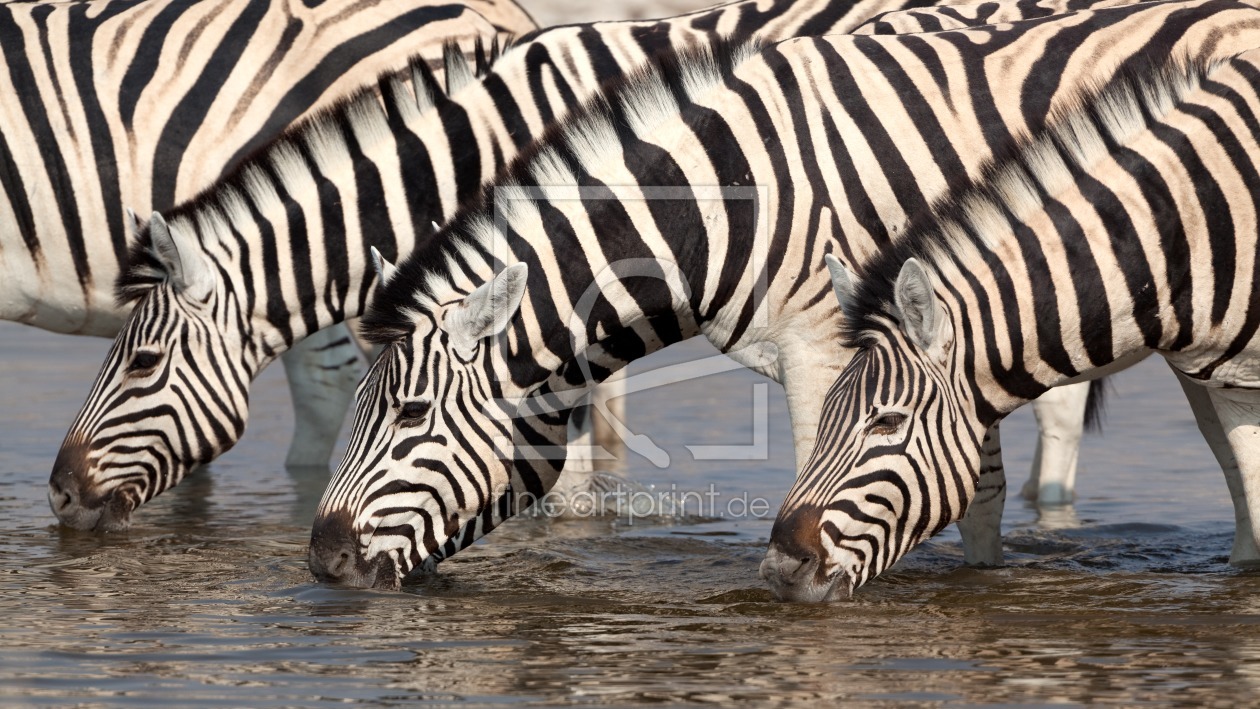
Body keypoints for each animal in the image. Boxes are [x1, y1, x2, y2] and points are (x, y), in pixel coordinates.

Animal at [302, 0, 1260, 589]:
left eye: (411, 415)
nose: (321, 561)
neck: (734, 199)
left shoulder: (834, 345)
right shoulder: (937, 345)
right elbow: (970, 489)